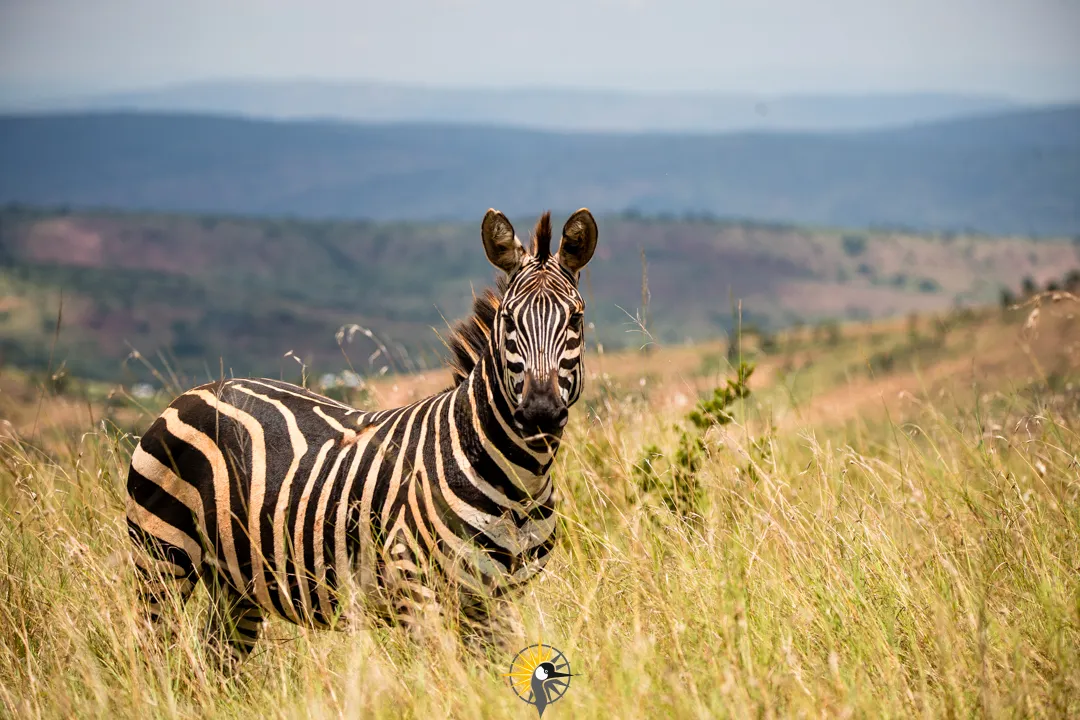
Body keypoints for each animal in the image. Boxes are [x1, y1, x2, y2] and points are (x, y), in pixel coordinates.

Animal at [126, 208, 600, 664]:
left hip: (236, 582)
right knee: (154, 655)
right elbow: (439, 679)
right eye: (508, 319)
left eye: (576, 317)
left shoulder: (496, 600)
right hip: (161, 557)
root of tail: (198, 390)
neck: (518, 480)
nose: (540, 413)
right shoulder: (414, 589)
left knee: (215, 666)